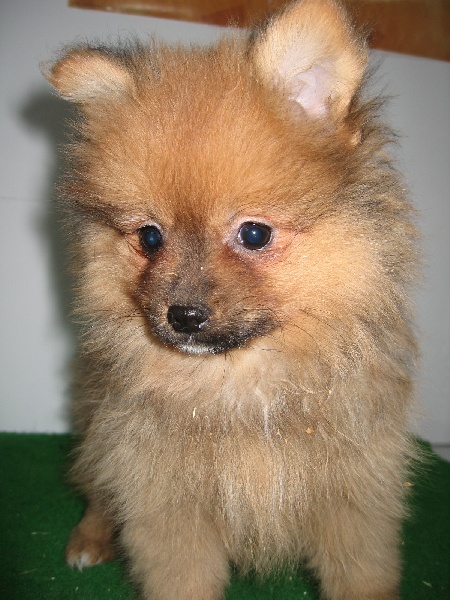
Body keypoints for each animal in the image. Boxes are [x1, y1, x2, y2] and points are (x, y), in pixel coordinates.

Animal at [44, 1, 419, 598]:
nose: (182, 315)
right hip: (100, 425)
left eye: (254, 234)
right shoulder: (166, 500)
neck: (240, 385)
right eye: (150, 237)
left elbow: (360, 573)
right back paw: (89, 539)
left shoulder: (353, 495)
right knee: (98, 488)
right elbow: (180, 576)